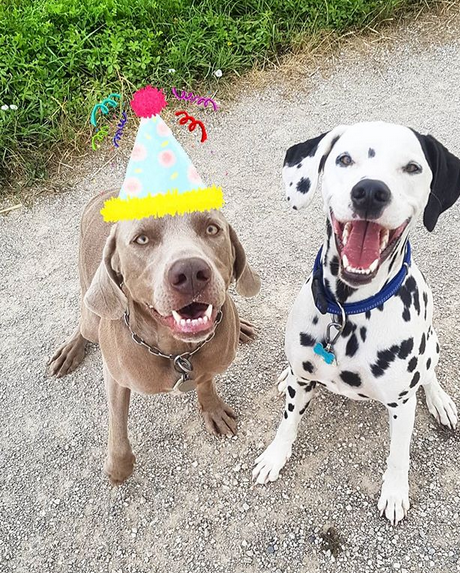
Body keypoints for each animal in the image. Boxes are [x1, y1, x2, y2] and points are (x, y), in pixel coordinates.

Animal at [253, 123, 460, 524]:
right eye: (345, 159)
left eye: (412, 167)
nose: (370, 192)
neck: (347, 310)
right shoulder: (302, 379)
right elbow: (287, 422)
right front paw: (274, 455)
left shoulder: (401, 403)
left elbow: (398, 455)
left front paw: (394, 492)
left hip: (432, 346)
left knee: (429, 374)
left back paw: (440, 400)